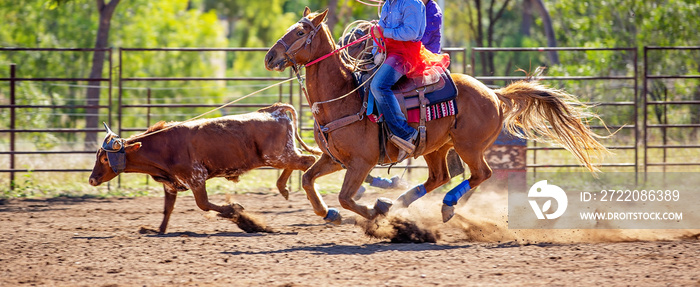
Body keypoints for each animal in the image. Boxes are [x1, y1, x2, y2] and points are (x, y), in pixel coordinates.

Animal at [87, 103, 320, 234]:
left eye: (105, 159)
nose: (91, 179)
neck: (163, 146)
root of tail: (273, 110)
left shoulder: (196, 177)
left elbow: (204, 204)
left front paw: (236, 212)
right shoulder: (171, 184)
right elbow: (168, 208)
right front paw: (158, 230)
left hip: (277, 156)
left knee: (307, 161)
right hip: (282, 154)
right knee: (302, 160)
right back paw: (283, 188)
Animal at [262, 6, 608, 223]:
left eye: (300, 32)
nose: (270, 56)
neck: (344, 97)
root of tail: (494, 94)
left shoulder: (362, 161)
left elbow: (347, 198)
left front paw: (373, 214)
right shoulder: (335, 158)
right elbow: (308, 180)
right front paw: (330, 215)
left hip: (469, 146)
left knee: (481, 175)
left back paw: (444, 206)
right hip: (436, 147)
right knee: (440, 176)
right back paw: (400, 203)